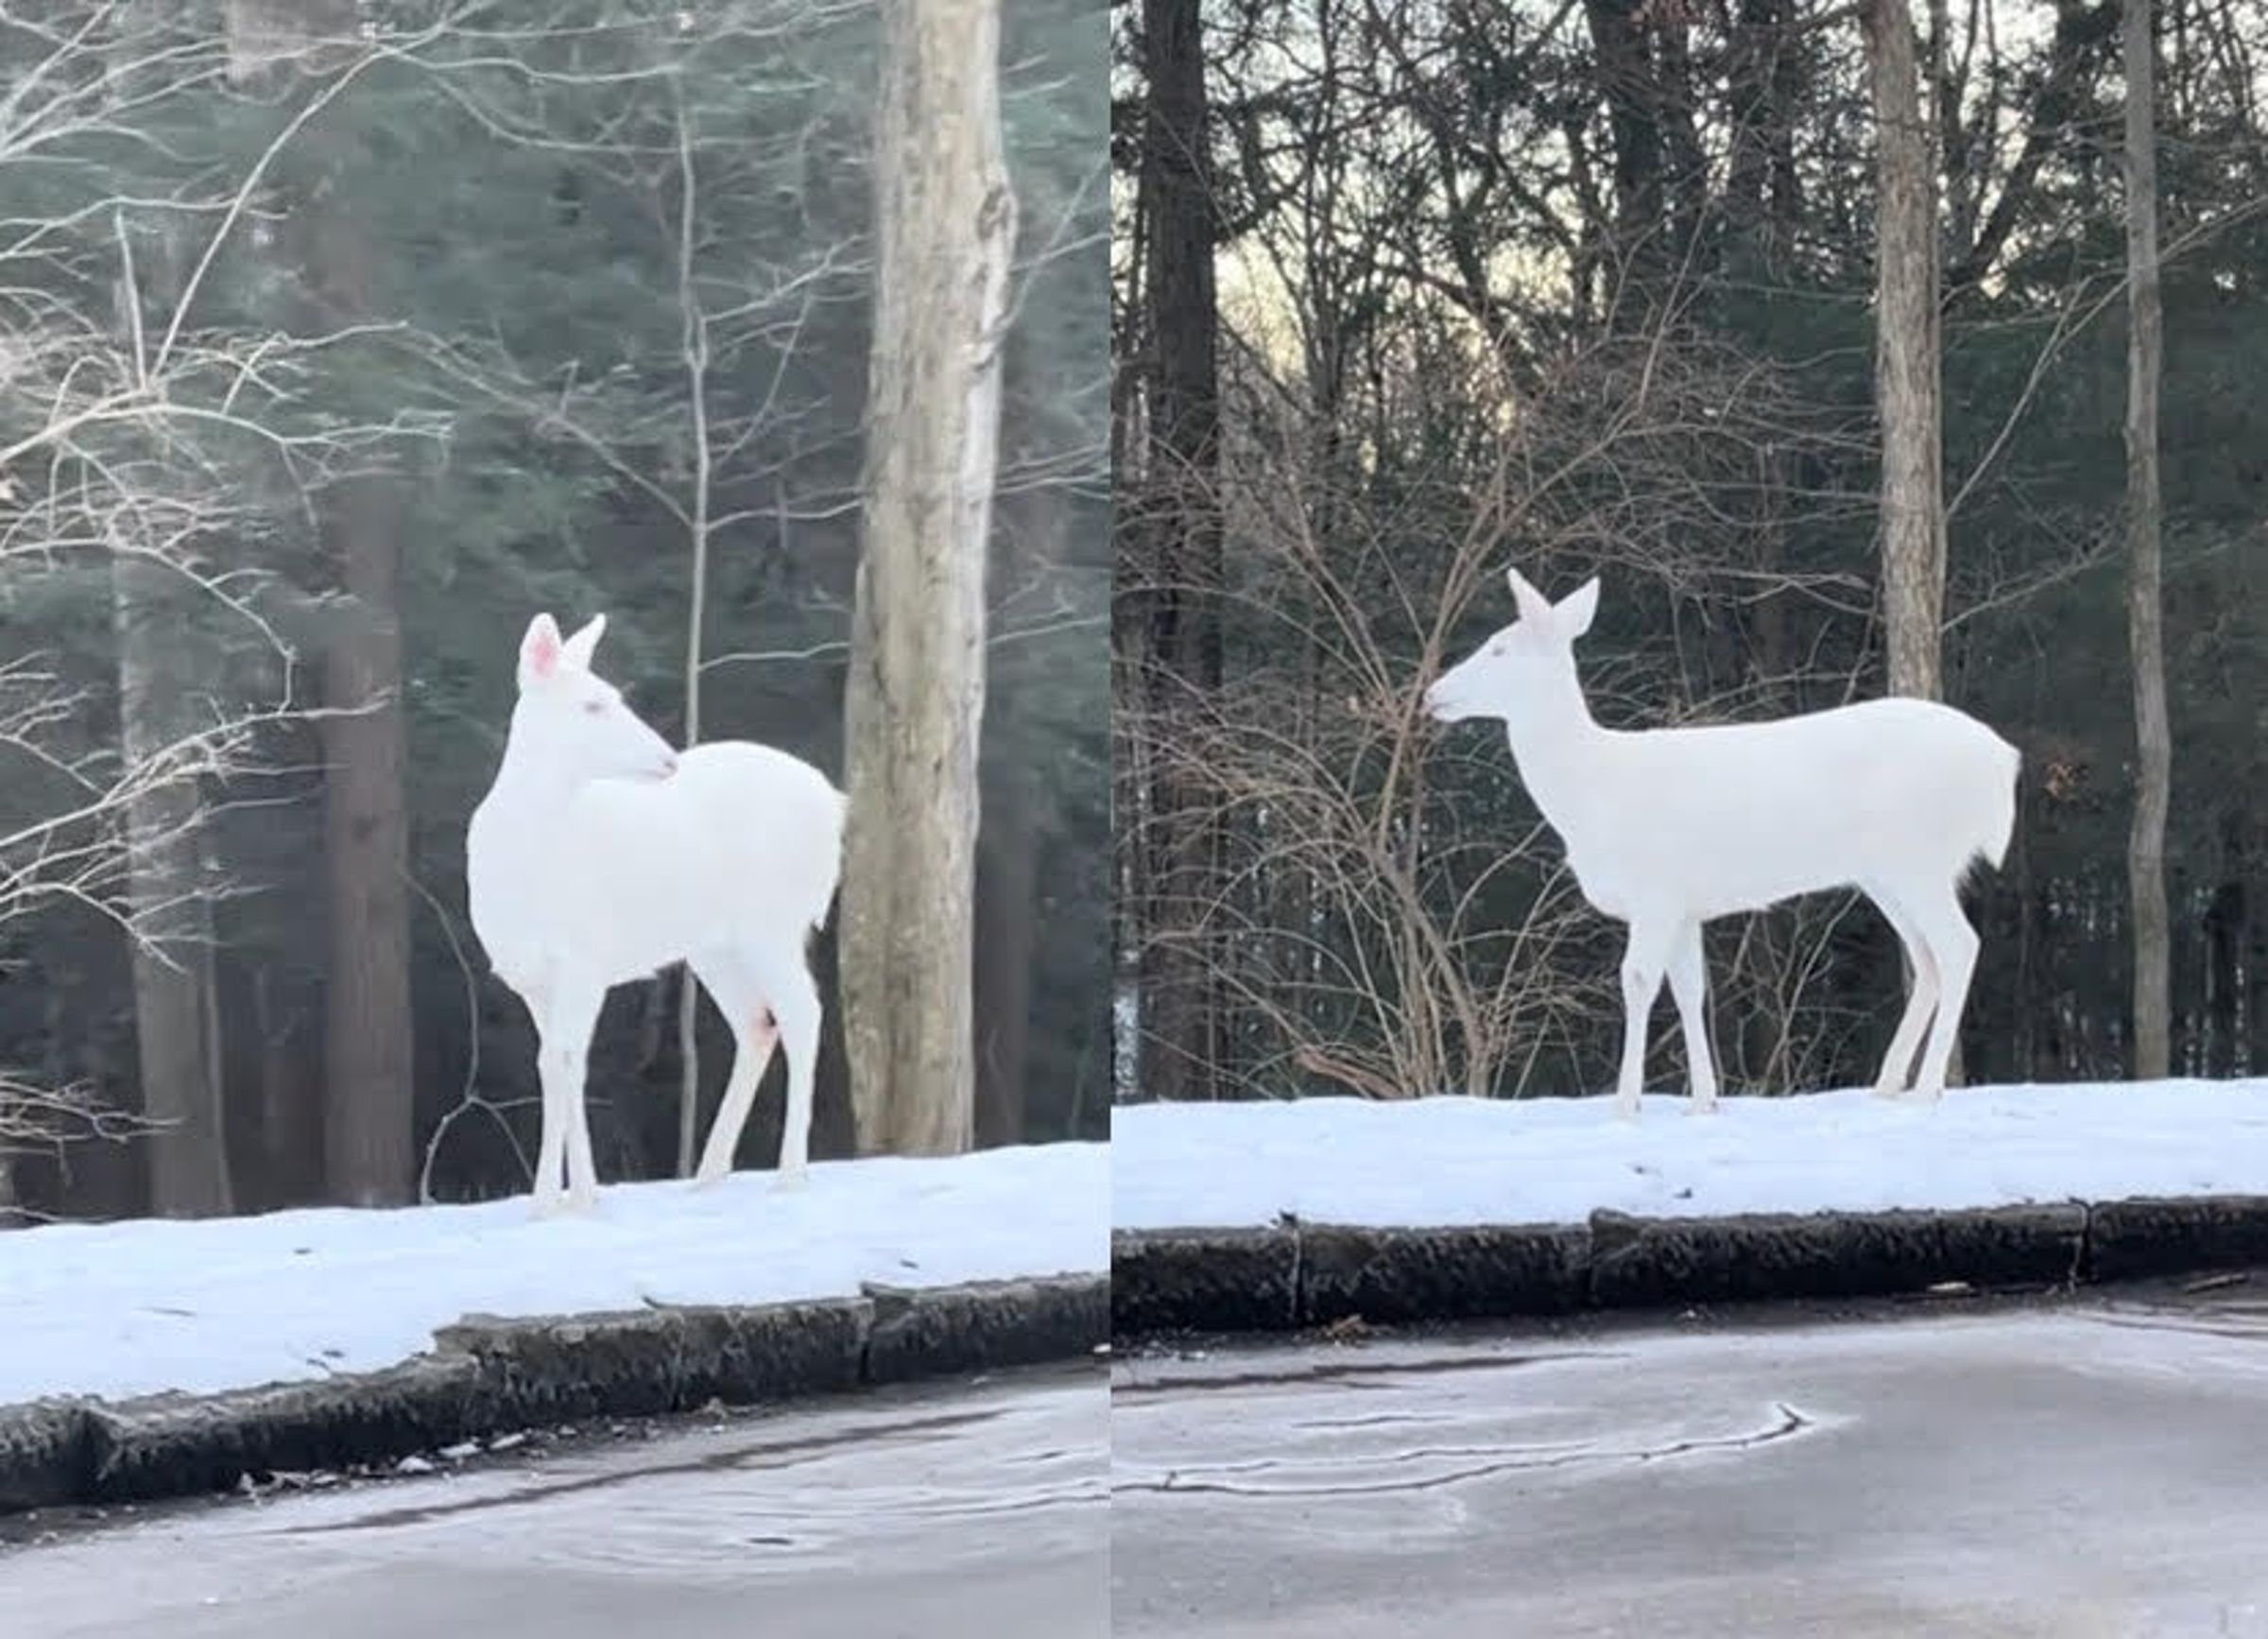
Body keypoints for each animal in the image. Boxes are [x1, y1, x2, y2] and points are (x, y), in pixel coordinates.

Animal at [465, 611, 844, 1215]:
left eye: (616, 696)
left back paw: (790, 1174)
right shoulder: (532, 978)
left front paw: (551, 1201)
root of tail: (835, 806)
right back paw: (708, 1175)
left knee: (802, 1013)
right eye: (593, 704)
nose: (668, 758)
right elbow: (561, 1066)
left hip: (773, 921)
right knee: (756, 1022)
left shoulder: (584, 958)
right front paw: (581, 1196)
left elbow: (560, 1061)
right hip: (717, 945)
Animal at [1424, 567, 2020, 1118]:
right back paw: (1888, 1084)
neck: (1592, 795)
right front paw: (1704, 1101)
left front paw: (1625, 1104)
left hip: (1919, 857)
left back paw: (1925, 1089)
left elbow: (1637, 980)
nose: (1432, 694)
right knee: (1927, 958)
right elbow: (1691, 988)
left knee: (1958, 945)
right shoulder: (1686, 905)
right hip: (1887, 874)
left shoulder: (1655, 891)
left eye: (1499, 647)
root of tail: (2003, 762)